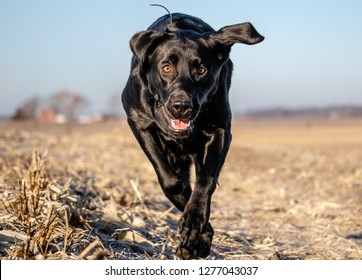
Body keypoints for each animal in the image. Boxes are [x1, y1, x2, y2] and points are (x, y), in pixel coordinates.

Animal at [121, 12, 264, 258]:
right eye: (166, 68)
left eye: (201, 70)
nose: (182, 106)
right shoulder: (138, 121)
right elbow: (171, 182)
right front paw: (199, 232)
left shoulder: (221, 131)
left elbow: (206, 181)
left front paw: (195, 223)